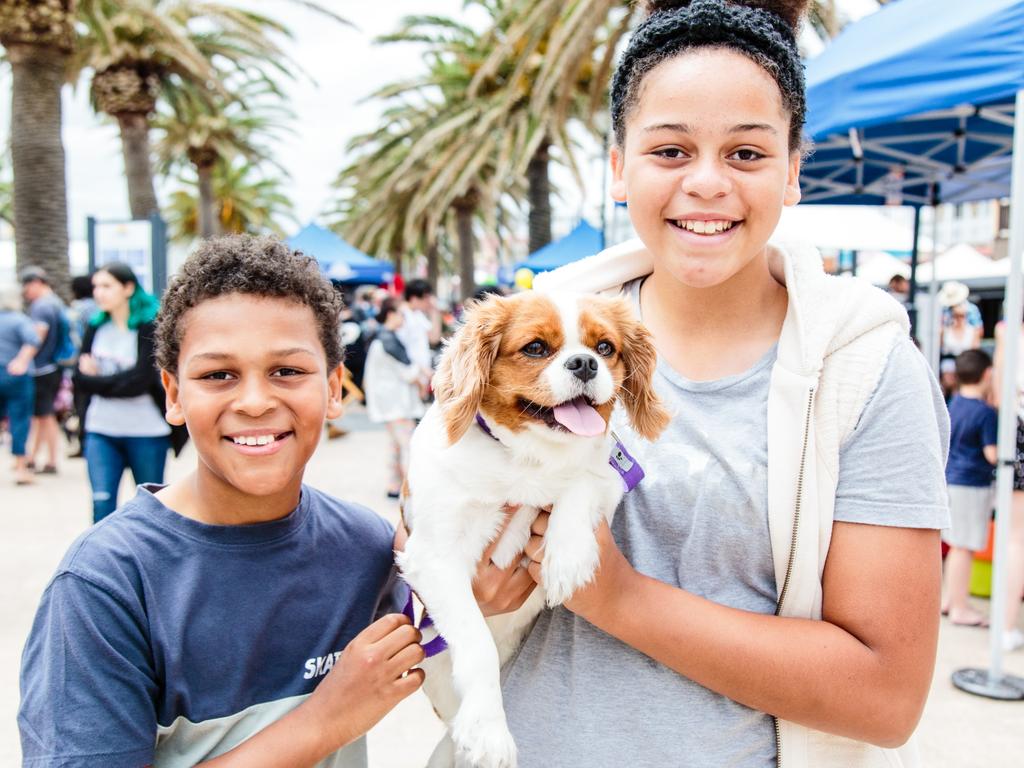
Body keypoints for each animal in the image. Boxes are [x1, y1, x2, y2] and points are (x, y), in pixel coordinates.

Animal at [395, 290, 667, 768]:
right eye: (536, 348)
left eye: (605, 348)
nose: (585, 363)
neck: (527, 460)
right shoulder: (433, 560)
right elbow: (476, 644)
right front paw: (488, 733)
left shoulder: (608, 476)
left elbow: (581, 482)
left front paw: (566, 559)